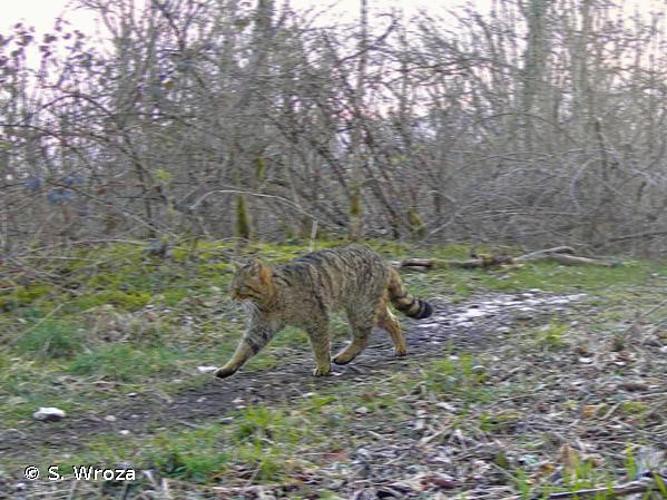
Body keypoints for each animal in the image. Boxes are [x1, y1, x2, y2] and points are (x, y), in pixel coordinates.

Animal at [215, 244, 434, 376]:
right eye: (231, 288)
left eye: (240, 288)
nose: (231, 297)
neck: (271, 299)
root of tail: (382, 259)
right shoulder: (261, 328)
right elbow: (244, 349)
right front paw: (227, 368)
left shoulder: (316, 318)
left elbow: (320, 347)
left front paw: (322, 366)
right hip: (371, 306)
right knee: (393, 321)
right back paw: (400, 347)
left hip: (360, 307)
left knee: (363, 336)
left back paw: (345, 356)